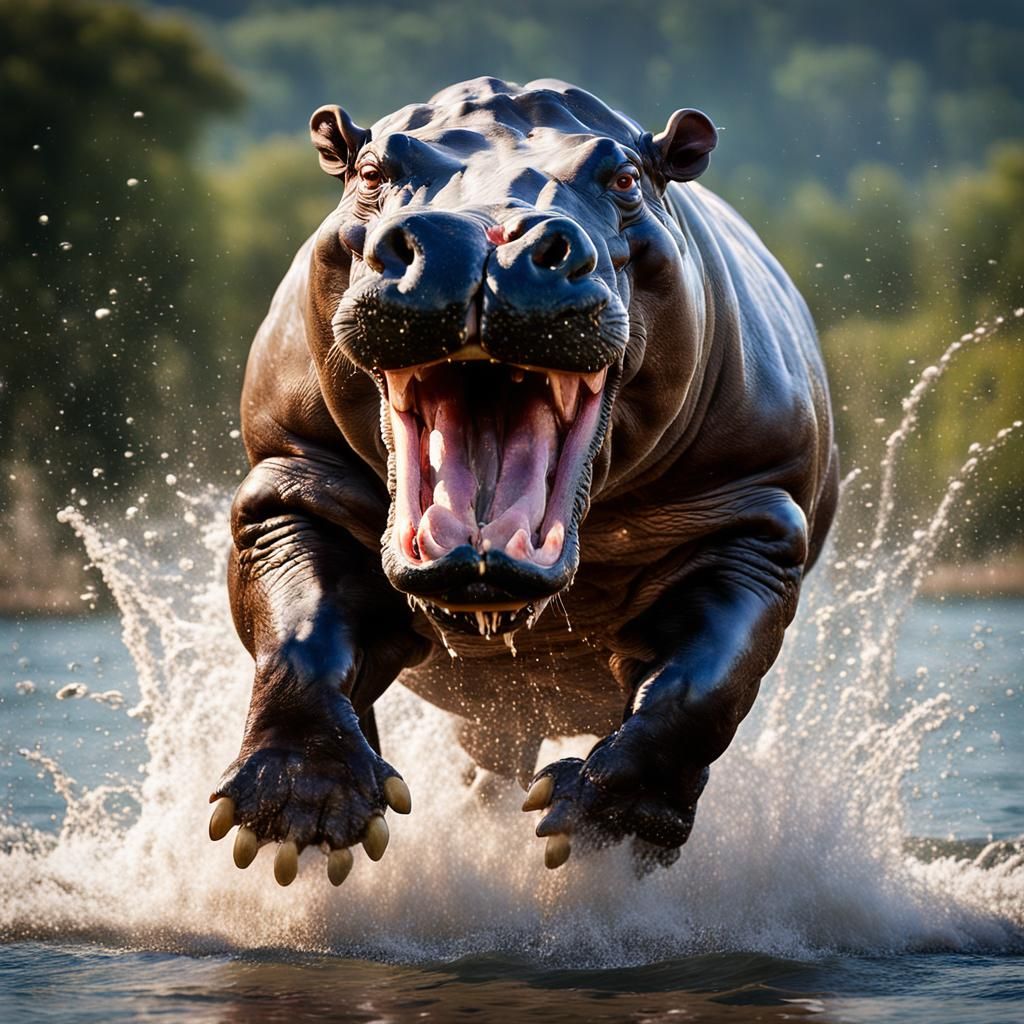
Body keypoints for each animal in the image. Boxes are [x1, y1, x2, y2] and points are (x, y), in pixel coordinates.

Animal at [207, 77, 838, 885]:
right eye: (370, 169)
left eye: (625, 177)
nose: (480, 237)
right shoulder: (287, 485)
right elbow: (300, 632)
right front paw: (300, 813)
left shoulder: (755, 522)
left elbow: (700, 684)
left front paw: (601, 826)